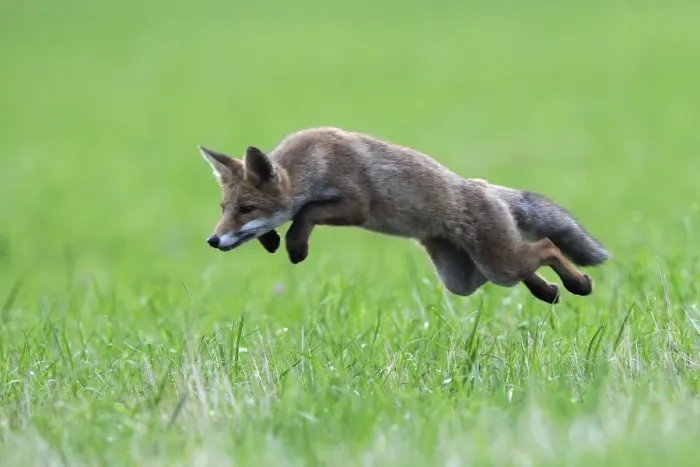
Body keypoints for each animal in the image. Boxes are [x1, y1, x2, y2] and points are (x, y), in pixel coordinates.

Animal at [198, 126, 611, 304]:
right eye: (224, 210)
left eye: (246, 209)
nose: (212, 240)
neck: (312, 163)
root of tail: (483, 186)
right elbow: (289, 219)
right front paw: (271, 239)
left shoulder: (356, 205)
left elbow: (305, 214)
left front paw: (295, 246)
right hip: (467, 279)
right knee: (527, 266)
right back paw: (550, 292)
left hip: (498, 263)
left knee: (547, 247)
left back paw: (578, 285)